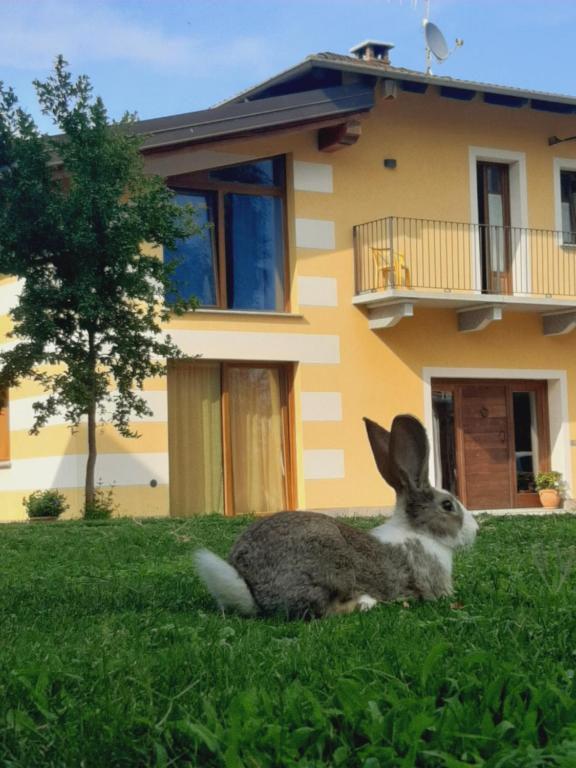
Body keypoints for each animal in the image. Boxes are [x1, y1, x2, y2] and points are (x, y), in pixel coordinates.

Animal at [194, 414, 476, 616]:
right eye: (448, 505)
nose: (475, 530)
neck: (418, 530)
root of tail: (251, 587)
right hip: (331, 570)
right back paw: (366, 602)